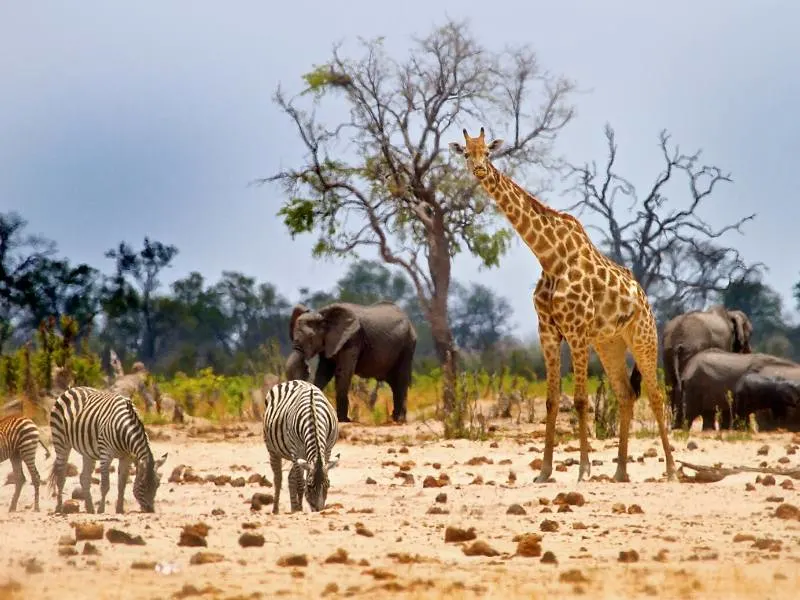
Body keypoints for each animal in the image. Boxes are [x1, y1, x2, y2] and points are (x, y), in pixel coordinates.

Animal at [260, 382, 340, 512]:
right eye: (310, 486)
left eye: (328, 485)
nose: (318, 511)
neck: (313, 415)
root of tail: (292, 381)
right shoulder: (296, 451)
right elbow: (300, 482)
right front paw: (300, 509)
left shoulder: (327, 450)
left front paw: (298, 508)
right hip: (272, 448)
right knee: (278, 478)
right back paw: (276, 510)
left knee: (290, 478)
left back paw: (293, 509)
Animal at [284, 300, 418, 422]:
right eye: (293, 335)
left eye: (311, 338)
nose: (307, 367)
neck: (323, 315)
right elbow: (323, 373)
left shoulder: (352, 339)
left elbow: (342, 372)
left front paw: (343, 420)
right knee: (394, 383)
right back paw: (394, 418)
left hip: (407, 346)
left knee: (400, 380)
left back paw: (399, 420)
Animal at [450, 127, 676, 482]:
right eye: (465, 154)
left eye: (487, 152)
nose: (480, 170)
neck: (549, 257)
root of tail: (643, 296)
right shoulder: (548, 332)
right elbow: (551, 401)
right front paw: (544, 471)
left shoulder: (577, 330)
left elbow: (581, 400)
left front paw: (583, 470)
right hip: (609, 343)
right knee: (626, 394)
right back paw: (620, 472)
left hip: (643, 336)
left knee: (655, 394)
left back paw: (671, 470)